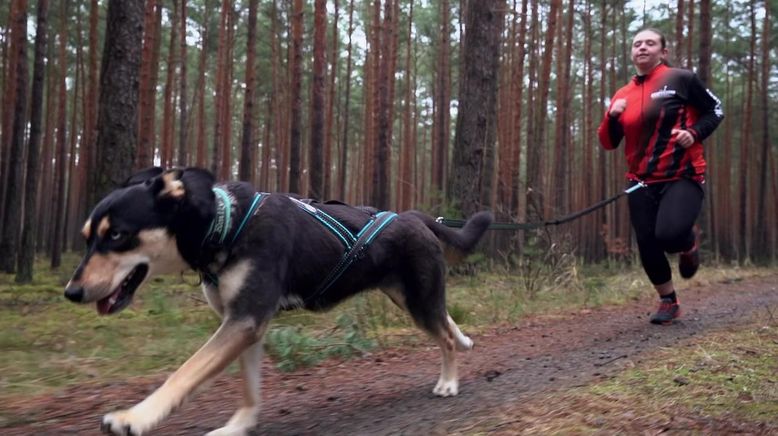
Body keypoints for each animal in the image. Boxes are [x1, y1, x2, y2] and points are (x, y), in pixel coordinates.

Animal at [65, 168, 492, 436]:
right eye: (87, 236)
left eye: (117, 235)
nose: (71, 292)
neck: (226, 225)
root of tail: (415, 216)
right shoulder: (244, 326)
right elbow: (250, 389)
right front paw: (240, 426)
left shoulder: (244, 320)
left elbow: (185, 373)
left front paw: (135, 417)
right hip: (410, 297)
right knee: (447, 321)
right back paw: (464, 340)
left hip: (418, 300)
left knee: (444, 337)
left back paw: (449, 382)